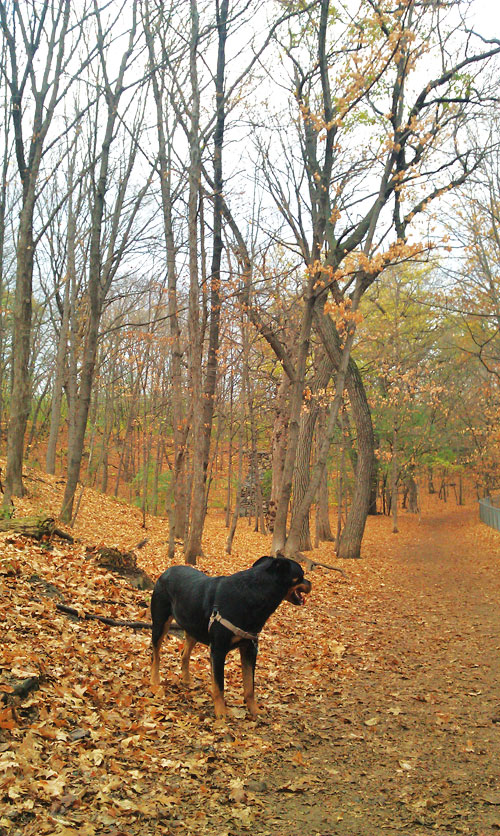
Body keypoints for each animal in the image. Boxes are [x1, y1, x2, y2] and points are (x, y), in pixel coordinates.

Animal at [150, 556, 310, 720]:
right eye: (301, 575)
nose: (310, 584)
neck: (253, 594)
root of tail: (166, 571)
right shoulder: (218, 650)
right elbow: (219, 686)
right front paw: (221, 713)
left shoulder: (249, 648)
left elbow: (249, 686)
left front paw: (254, 710)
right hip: (160, 623)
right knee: (156, 654)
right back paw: (155, 681)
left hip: (193, 628)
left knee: (184, 654)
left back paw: (187, 680)